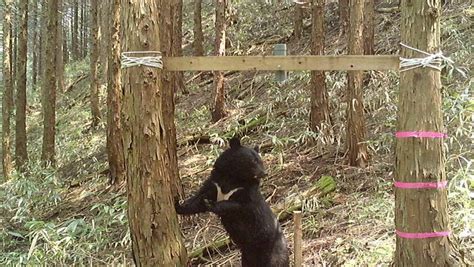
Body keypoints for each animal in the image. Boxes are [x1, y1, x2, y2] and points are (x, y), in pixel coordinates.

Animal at [176, 137, 288, 266]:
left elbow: (239, 206)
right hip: (247, 256)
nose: (265, 173)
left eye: (260, 161)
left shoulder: (246, 192)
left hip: (274, 253)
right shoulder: (214, 183)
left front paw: (211, 204)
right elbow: (198, 200)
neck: (234, 177)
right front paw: (178, 204)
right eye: (254, 161)